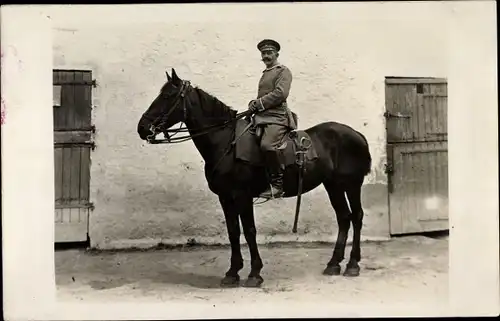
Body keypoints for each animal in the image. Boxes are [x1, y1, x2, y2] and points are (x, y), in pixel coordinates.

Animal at [137, 68, 372, 288]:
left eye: (168, 96)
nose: (142, 128)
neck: (225, 142)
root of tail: (357, 135)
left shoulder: (242, 196)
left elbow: (249, 231)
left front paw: (254, 273)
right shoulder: (225, 198)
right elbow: (233, 231)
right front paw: (232, 272)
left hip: (352, 184)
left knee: (357, 216)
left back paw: (352, 264)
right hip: (333, 185)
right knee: (344, 217)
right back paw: (334, 264)